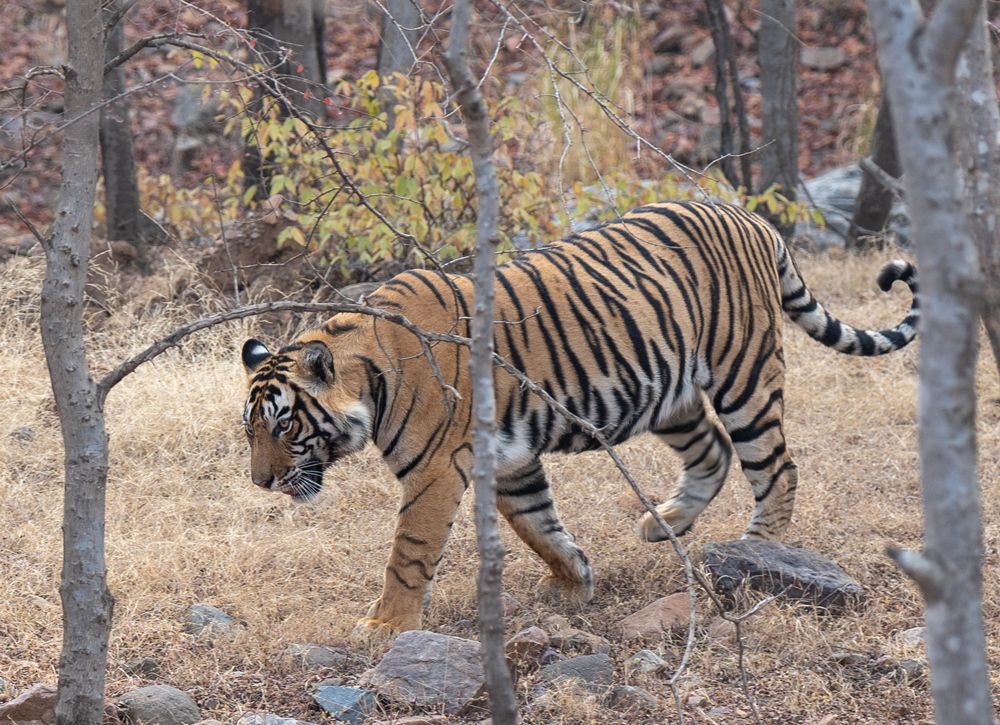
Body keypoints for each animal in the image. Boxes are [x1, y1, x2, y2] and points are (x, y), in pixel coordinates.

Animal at [238, 198, 916, 632]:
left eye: (284, 425)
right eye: (251, 430)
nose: (261, 483)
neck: (371, 375)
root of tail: (751, 217)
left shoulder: (434, 473)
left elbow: (409, 552)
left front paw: (383, 626)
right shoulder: (508, 459)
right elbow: (538, 527)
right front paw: (574, 582)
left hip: (743, 375)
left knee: (776, 468)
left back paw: (753, 554)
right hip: (667, 393)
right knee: (713, 451)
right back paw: (663, 521)